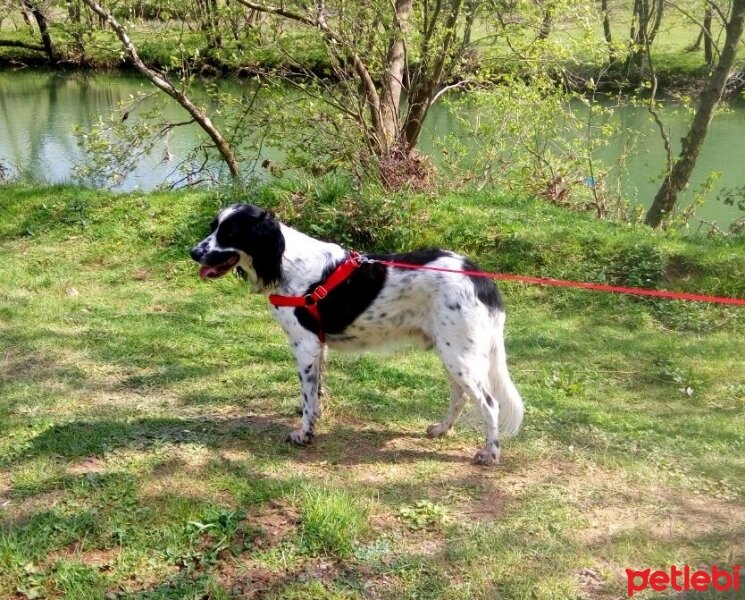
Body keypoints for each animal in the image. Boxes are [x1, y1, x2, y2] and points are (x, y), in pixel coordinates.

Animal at [189, 204, 520, 466]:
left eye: (230, 233)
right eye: (213, 227)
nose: (193, 253)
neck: (285, 260)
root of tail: (482, 279)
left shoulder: (305, 344)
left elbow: (308, 395)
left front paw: (304, 433)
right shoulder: (318, 346)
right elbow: (315, 392)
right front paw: (314, 416)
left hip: (458, 355)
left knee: (489, 404)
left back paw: (490, 454)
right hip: (452, 352)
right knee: (461, 396)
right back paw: (441, 430)